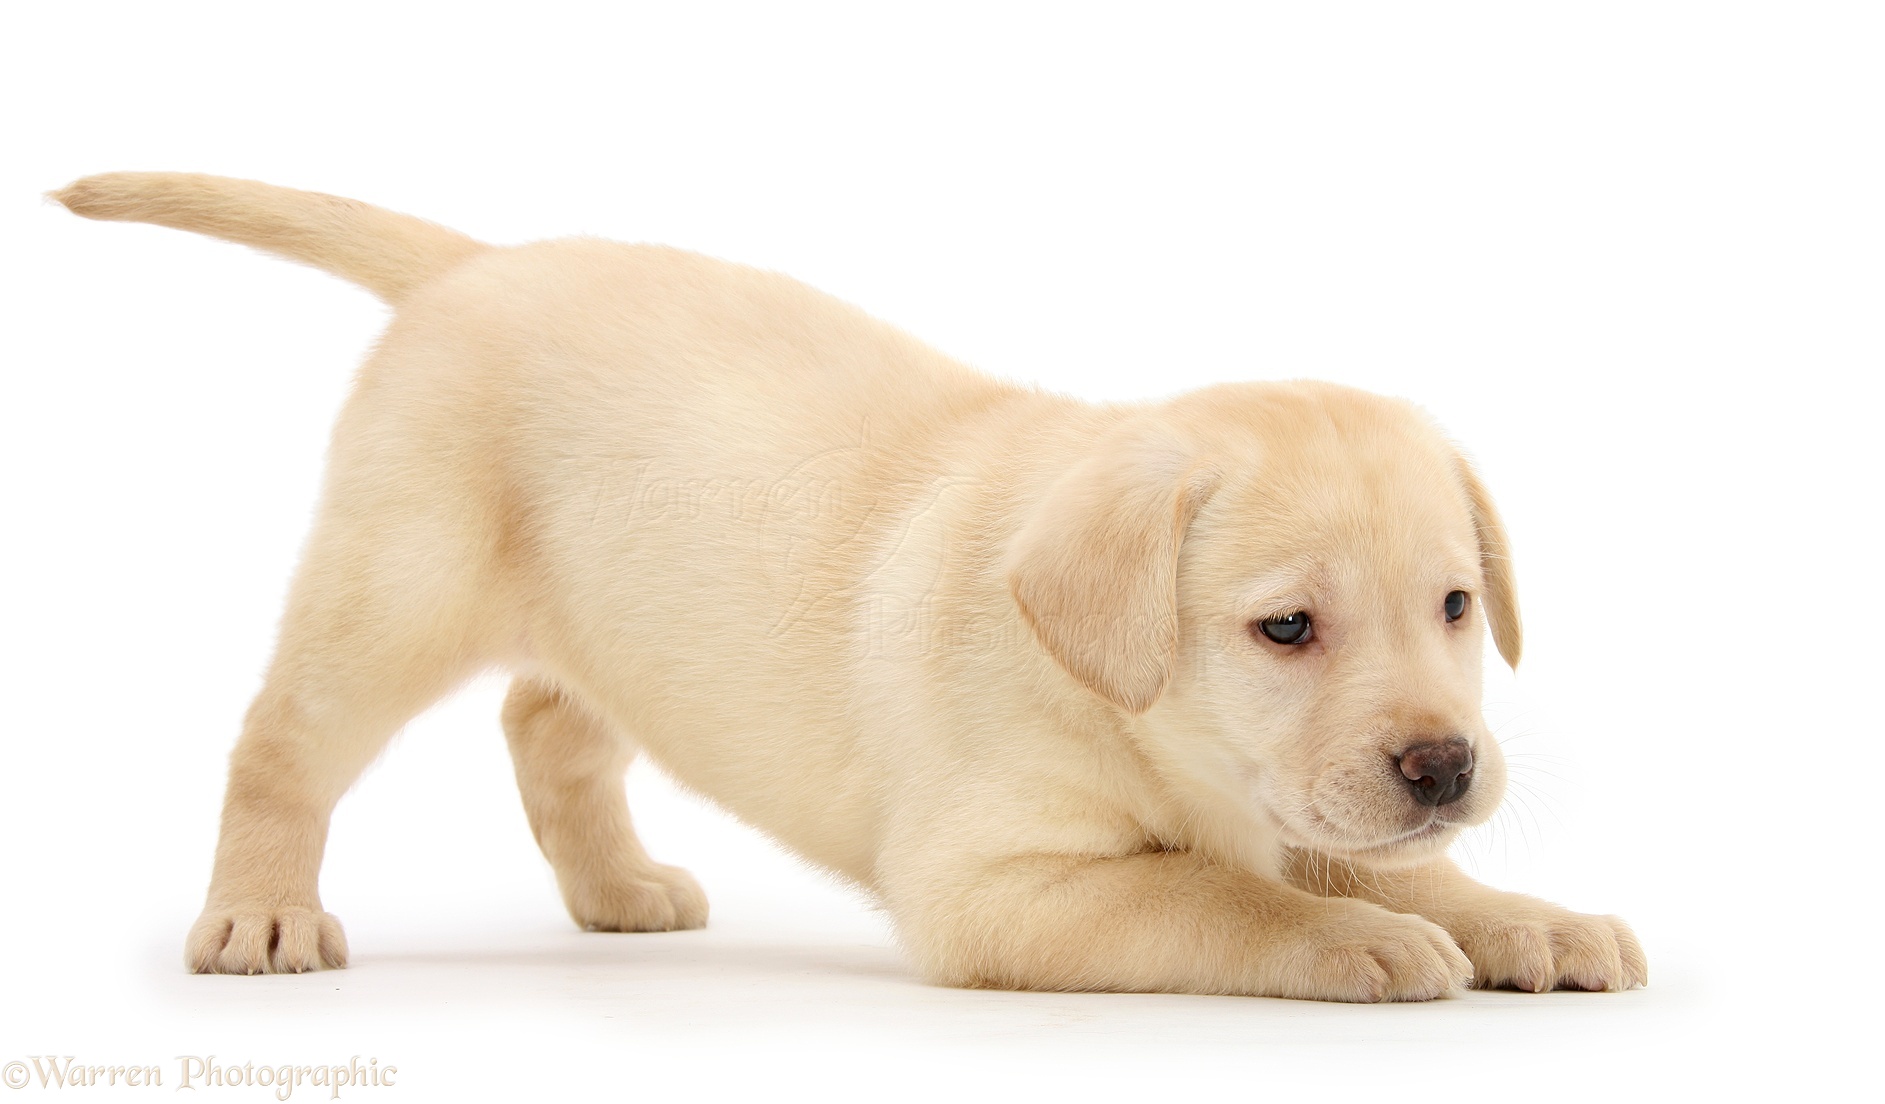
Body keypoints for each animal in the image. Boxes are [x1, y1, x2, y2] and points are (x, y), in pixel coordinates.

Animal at [55, 169, 1651, 994]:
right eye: (1287, 629)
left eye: (1455, 607)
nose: (1444, 765)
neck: (1121, 708)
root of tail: (476, 264)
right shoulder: (998, 887)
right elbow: (1223, 898)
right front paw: (1360, 937)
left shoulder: (1292, 806)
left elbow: (1401, 865)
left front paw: (1528, 915)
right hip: (396, 588)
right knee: (284, 741)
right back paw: (259, 918)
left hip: (614, 613)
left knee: (546, 723)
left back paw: (619, 886)